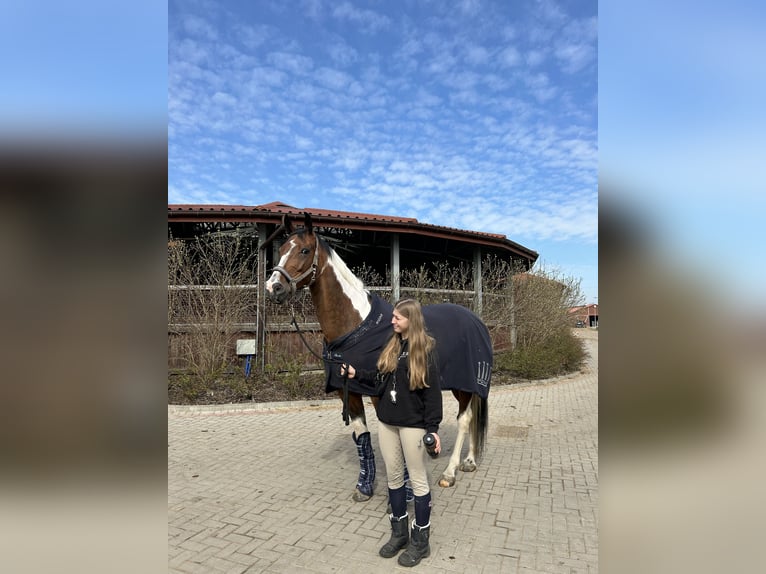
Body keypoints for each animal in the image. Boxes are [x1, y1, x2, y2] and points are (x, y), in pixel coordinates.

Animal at [264, 213, 492, 504]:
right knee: (473, 417)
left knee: (464, 419)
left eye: (304, 250)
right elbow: (363, 437)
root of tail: (476, 320)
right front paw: (364, 487)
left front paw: (407, 491)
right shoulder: (348, 390)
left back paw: (450, 473)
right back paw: (470, 462)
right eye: (281, 249)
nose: (274, 287)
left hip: (465, 384)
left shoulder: (380, 393)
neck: (354, 326)